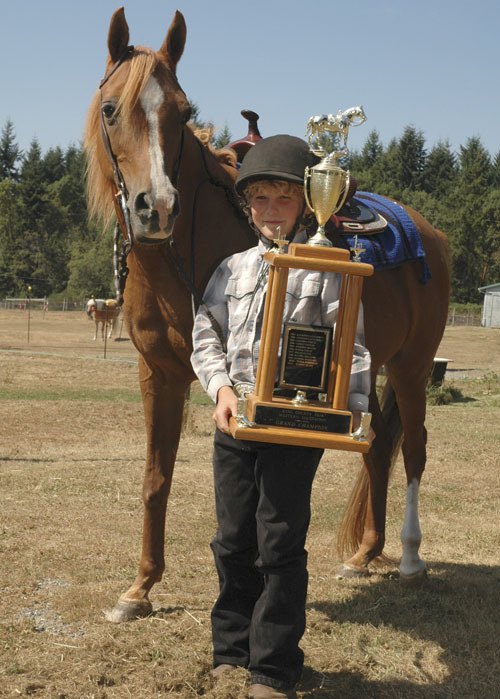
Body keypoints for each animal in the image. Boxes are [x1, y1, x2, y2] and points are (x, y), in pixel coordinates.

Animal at [84, 8, 452, 624]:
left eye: (182, 112)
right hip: (368, 366)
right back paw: (364, 555)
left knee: (416, 449)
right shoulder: (157, 373)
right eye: (112, 109)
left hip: (412, 365)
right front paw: (139, 589)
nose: (156, 207)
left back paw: (407, 556)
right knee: (377, 445)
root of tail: (430, 233)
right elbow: (156, 477)